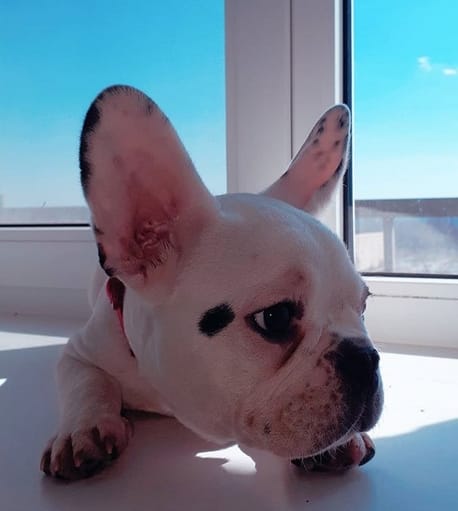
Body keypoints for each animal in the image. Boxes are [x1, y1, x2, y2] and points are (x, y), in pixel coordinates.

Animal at [40, 85, 383, 480]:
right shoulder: (80, 352)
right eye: (275, 318)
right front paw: (83, 430)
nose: (366, 358)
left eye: (363, 307)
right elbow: (87, 383)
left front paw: (339, 443)